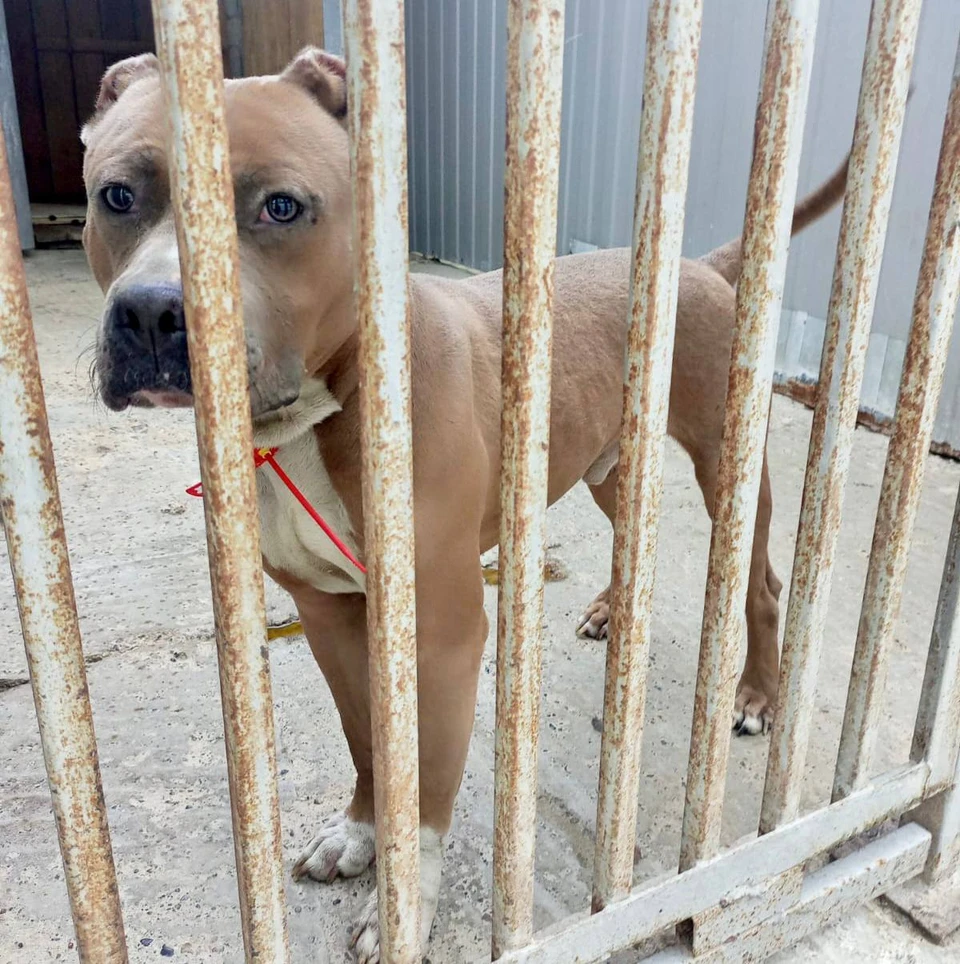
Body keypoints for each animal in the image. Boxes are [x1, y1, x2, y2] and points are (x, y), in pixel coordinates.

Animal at [82, 47, 848, 964]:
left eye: (281, 207)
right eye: (116, 196)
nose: (151, 311)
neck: (322, 409)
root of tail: (697, 265)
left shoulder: (443, 630)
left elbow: (427, 777)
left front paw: (403, 901)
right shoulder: (329, 615)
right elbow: (370, 743)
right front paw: (359, 832)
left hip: (727, 462)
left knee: (761, 581)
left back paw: (757, 695)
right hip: (603, 465)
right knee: (632, 531)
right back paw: (609, 607)